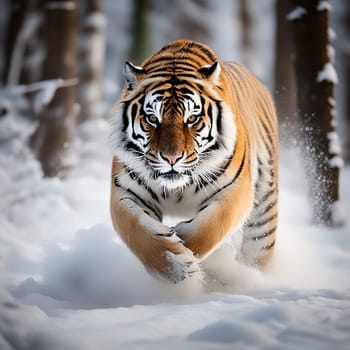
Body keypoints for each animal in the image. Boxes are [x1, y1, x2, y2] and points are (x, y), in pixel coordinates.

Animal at [110, 39, 278, 284]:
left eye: (192, 119)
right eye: (152, 118)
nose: (171, 158)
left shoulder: (235, 189)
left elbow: (212, 226)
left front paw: (187, 250)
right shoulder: (125, 192)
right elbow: (136, 232)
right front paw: (175, 262)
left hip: (264, 212)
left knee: (258, 250)